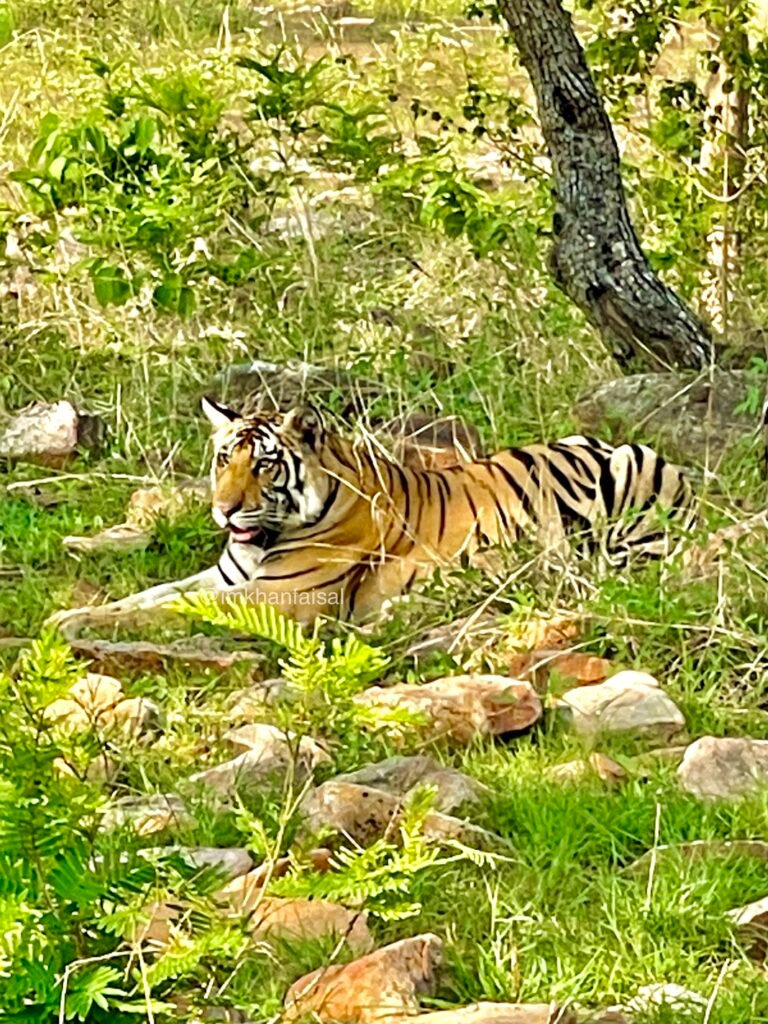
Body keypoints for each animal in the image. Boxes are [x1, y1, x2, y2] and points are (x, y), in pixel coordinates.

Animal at [47, 396, 695, 637]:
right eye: (223, 459)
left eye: (264, 465)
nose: (223, 508)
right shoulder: (227, 574)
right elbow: (153, 594)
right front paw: (72, 614)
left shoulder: (280, 597)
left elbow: (170, 608)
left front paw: (76, 623)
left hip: (634, 473)